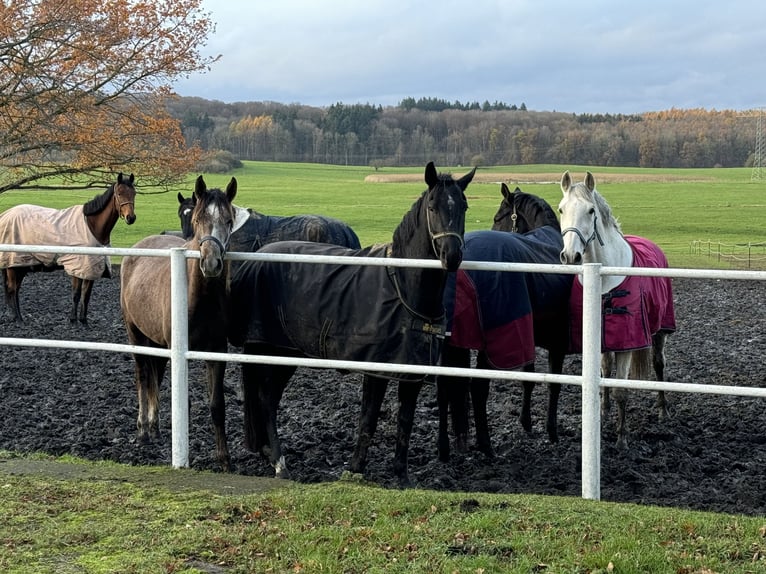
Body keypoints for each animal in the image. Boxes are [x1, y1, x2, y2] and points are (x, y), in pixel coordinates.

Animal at [0, 173, 136, 324]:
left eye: (134, 193)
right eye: (119, 193)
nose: (131, 218)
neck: (91, 226)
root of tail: (5, 216)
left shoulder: (92, 269)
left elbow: (86, 295)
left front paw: (83, 320)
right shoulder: (77, 267)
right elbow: (76, 294)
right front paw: (73, 319)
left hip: (21, 265)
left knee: (15, 289)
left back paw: (17, 316)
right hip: (13, 264)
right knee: (12, 289)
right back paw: (17, 318)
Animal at [120, 176, 237, 472]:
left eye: (229, 220)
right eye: (197, 219)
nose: (211, 263)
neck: (199, 297)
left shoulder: (217, 351)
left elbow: (217, 405)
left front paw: (224, 459)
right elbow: (184, 401)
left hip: (157, 343)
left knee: (155, 377)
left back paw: (155, 427)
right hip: (135, 334)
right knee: (142, 376)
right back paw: (143, 431)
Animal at [228, 163, 474, 486]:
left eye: (464, 206)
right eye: (432, 206)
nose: (452, 256)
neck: (403, 288)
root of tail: (256, 256)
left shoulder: (411, 372)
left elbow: (405, 421)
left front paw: (402, 476)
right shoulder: (376, 368)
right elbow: (368, 418)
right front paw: (355, 468)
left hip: (285, 352)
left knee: (269, 398)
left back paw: (269, 453)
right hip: (271, 349)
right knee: (267, 399)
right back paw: (281, 464)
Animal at [436, 184, 572, 464]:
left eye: (498, 217)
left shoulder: (531, 335)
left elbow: (529, 379)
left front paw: (527, 423)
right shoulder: (555, 340)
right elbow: (553, 383)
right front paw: (551, 431)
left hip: (452, 340)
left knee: (444, 385)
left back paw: (443, 448)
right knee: (478, 388)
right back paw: (486, 446)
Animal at [560, 173, 680, 452]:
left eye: (591, 211)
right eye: (561, 209)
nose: (570, 256)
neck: (604, 279)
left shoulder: (628, 341)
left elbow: (621, 391)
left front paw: (622, 436)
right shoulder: (600, 339)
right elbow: (603, 375)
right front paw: (601, 414)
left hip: (661, 330)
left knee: (659, 363)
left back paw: (663, 409)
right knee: (607, 369)